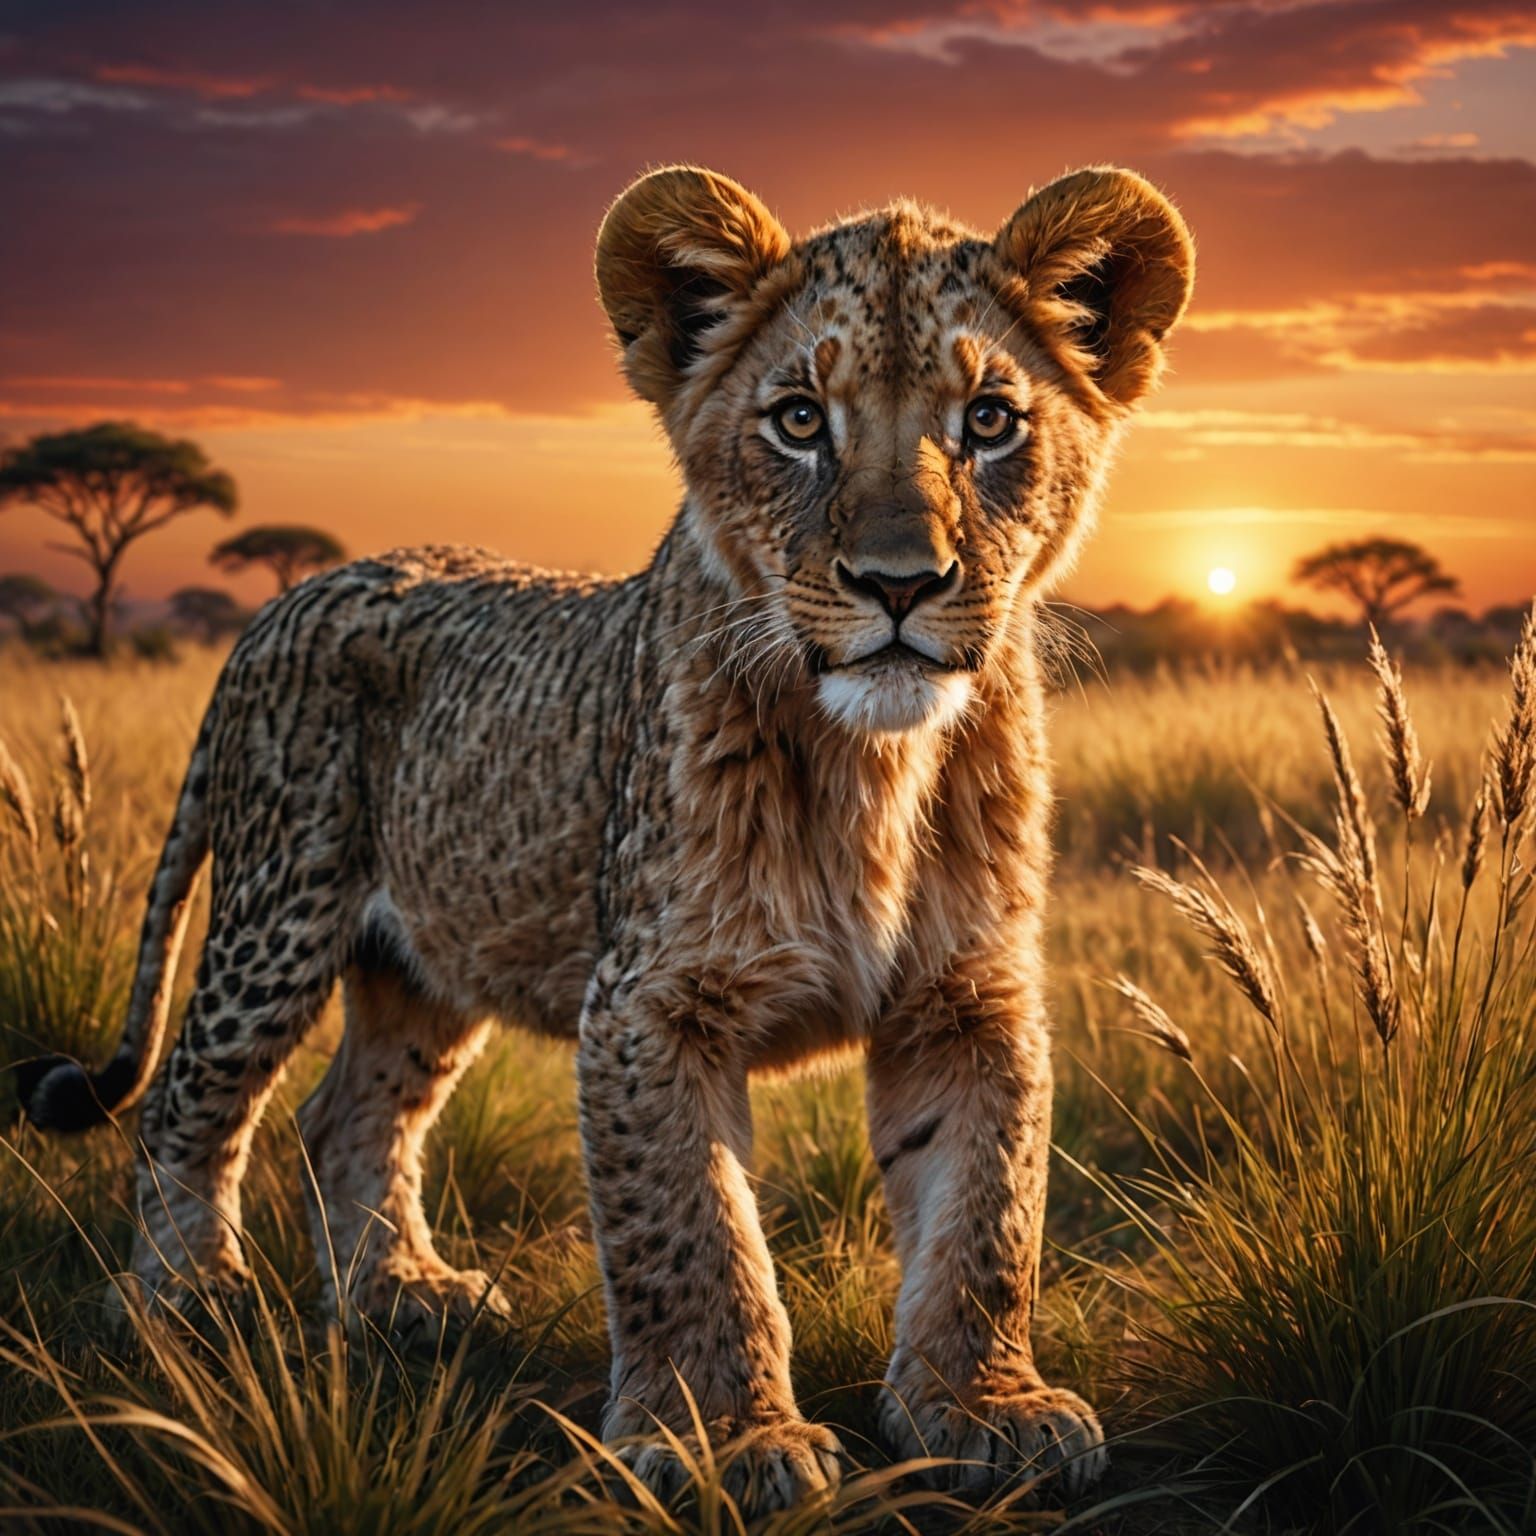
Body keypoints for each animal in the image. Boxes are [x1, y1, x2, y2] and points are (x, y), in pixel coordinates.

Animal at [18, 163, 1193, 1512]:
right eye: (799, 420)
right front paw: (720, 1440)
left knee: (351, 1113)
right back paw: (187, 1303)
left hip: (428, 955)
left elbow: (987, 1212)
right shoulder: (648, 1001)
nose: (899, 582)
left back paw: (402, 1299)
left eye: (991, 420)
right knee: (188, 1100)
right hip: (281, 908)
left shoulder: (967, 996)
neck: (875, 764)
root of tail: (292, 595)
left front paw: (982, 1407)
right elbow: (692, 1234)